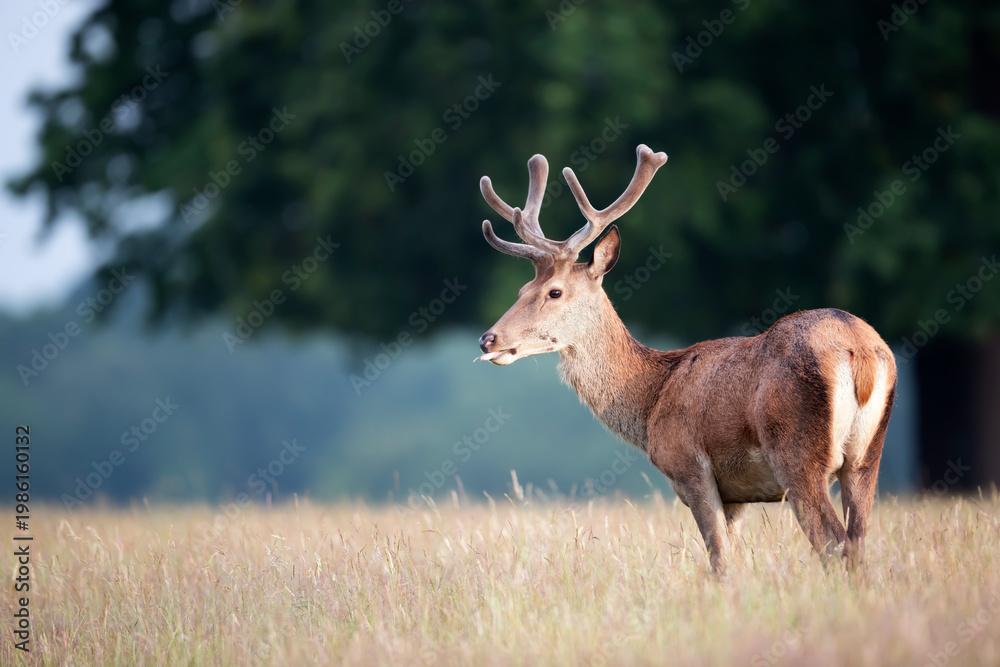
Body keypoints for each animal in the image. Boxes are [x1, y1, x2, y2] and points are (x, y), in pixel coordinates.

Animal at [475, 144, 897, 572]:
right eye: (522, 289)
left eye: (555, 292)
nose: (488, 339)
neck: (650, 402)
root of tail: (860, 352)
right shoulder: (737, 495)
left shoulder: (691, 468)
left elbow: (719, 561)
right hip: (867, 456)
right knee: (858, 542)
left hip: (796, 451)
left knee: (833, 543)